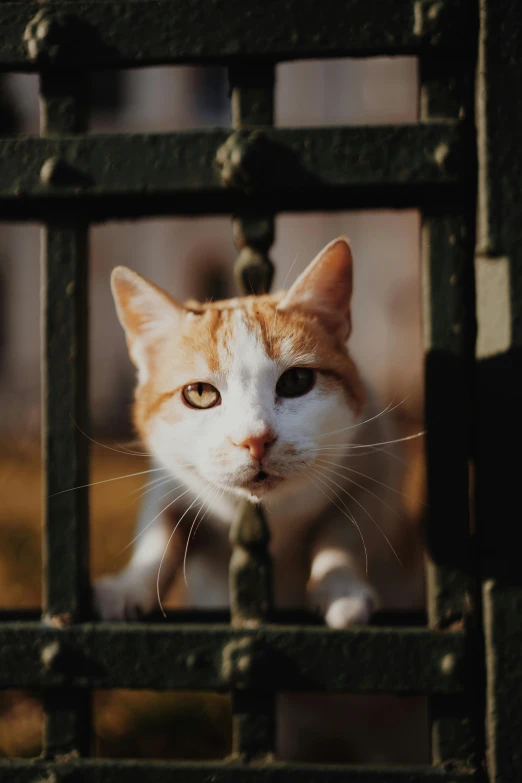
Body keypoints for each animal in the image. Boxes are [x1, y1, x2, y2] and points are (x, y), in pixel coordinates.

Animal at [94, 236, 426, 764]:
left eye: (296, 382)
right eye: (200, 393)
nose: (255, 439)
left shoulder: (382, 468)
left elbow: (342, 530)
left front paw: (339, 586)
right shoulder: (168, 478)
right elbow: (160, 528)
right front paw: (130, 586)